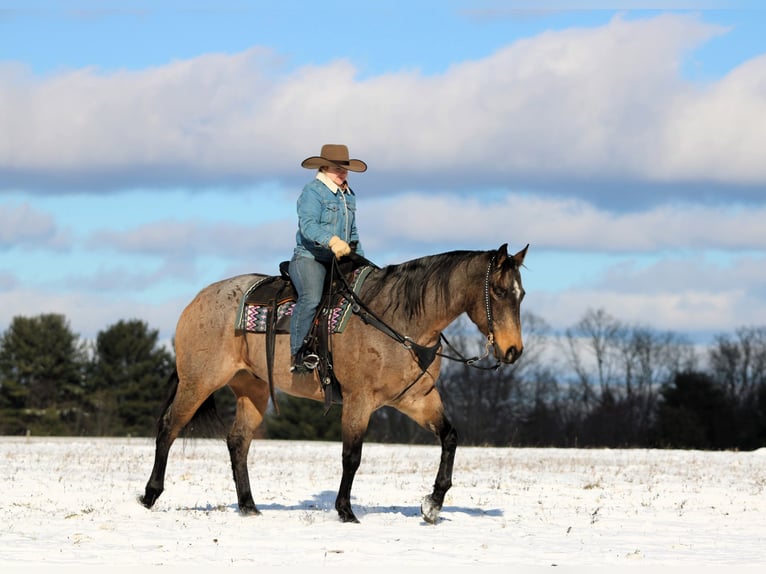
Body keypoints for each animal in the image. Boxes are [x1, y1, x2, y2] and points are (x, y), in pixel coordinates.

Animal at [140, 243, 528, 524]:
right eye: (497, 290)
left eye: (521, 294)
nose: (513, 351)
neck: (398, 320)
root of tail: (198, 300)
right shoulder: (360, 399)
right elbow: (351, 456)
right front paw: (345, 510)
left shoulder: (418, 399)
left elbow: (450, 438)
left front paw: (432, 504)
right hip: (198, 381)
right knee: (168, 428)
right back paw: (150, 495)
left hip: (253, 389)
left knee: (238, 442)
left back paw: (249, 506)